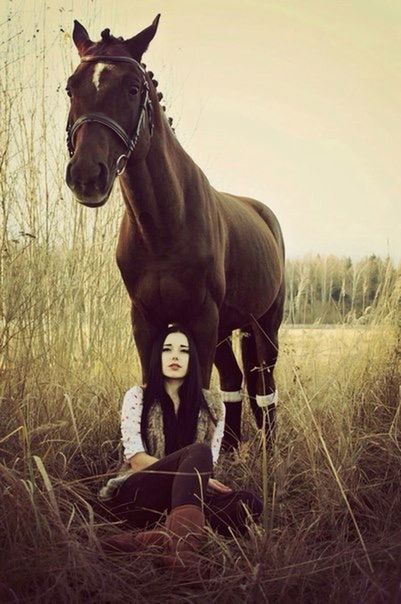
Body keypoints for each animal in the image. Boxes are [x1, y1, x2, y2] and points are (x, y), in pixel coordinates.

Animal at [64, 15, 284, 448]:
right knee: (235, 380)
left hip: (265, 324)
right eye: (71, 87)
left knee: (264, 383)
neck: (164, 228)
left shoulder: (202, 319)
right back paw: (232, 446)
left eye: (133, 88)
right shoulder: (146, 320)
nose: (86, 176)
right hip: (229, 328)